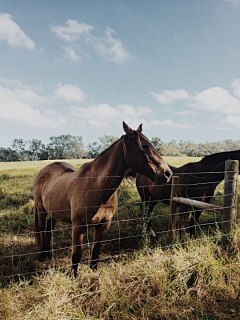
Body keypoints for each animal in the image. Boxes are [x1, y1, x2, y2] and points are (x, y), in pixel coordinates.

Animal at [33, 121, 172, 276]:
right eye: (144, 145)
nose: (167, 173)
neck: (96, 188)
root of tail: (43, 171)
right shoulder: (78, 226)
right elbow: (76, 255)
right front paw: (74, 277)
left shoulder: (104, 224)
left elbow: (95, 252)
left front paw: (93, 273)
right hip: (41, 210)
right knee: (41, 228)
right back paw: (42, 255)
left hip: (54, 212)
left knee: (49, 228)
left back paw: (48, 254)